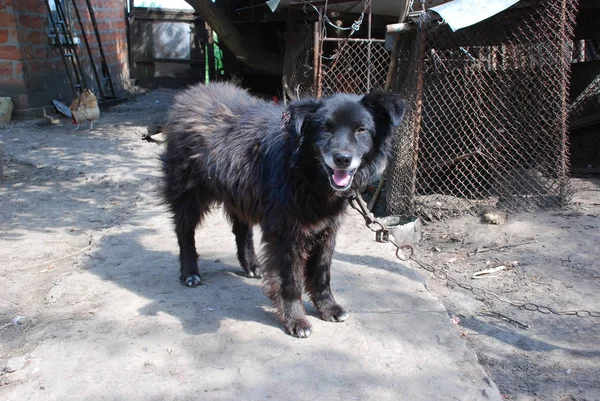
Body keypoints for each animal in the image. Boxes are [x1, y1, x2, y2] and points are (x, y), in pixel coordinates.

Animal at [161, 83, 404, 336]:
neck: (305, 173)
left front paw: (328, 307)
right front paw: (296, 319)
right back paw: (190, 272)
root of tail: (191, 92)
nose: (342, 159)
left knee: (241, 230)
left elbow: (322, 273)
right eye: (325, 128)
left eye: (361, 130)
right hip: (188, 193)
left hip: (240, 195)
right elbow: (290, 281)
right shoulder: (287, 234)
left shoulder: (327, 230)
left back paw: (252, 265)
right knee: (185, 233)